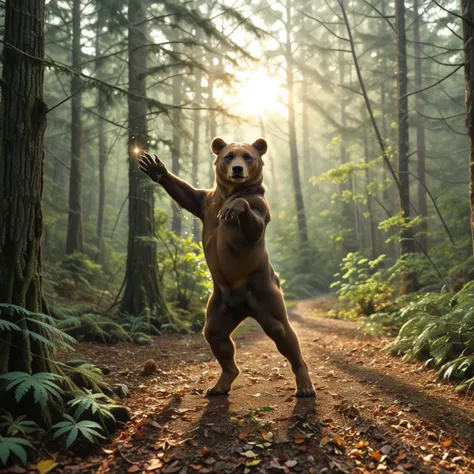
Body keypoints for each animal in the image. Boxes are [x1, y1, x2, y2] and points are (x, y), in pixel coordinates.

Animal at [137, 137, 314, 396]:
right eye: (229, 156)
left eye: (248, 156)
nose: (238, 169)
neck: (229, 193)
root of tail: (244, 306)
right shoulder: (206, 202)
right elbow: (187, 194)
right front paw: (156, 168)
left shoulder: (260, 206)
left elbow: (252, 225)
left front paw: (236, 207)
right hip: (221, 304)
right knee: (215, 334)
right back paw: (221, 382)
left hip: (264, 291)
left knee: (281, 330)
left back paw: (304, 383)